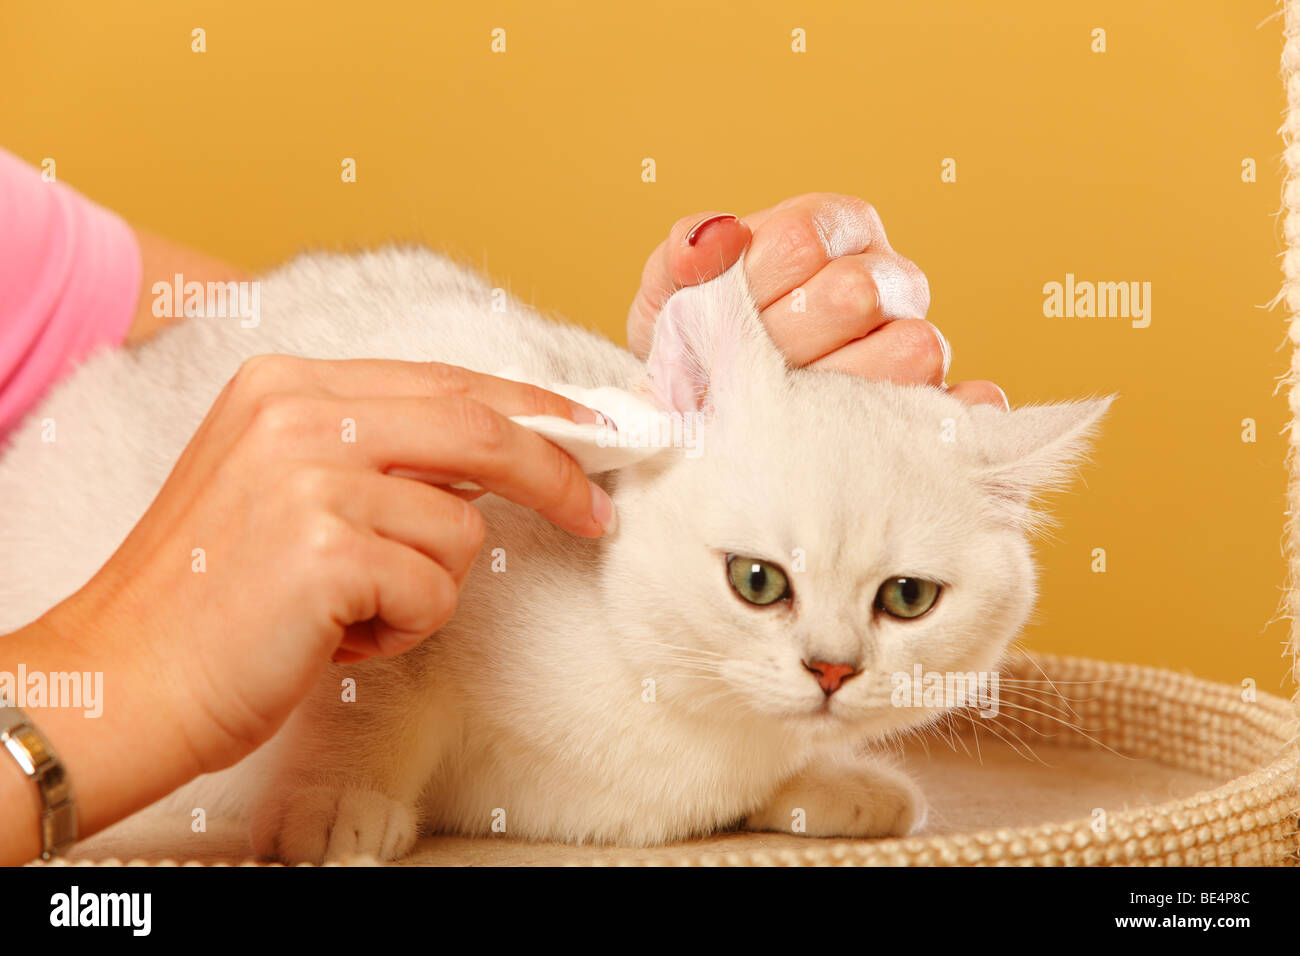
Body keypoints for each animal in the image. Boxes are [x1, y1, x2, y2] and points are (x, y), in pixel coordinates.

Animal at [0, 247, 1112, 858]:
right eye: (757, 581)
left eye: (908, 598)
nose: (832, 671)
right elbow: (373, 692)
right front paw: (332, 804)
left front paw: (829, 780)